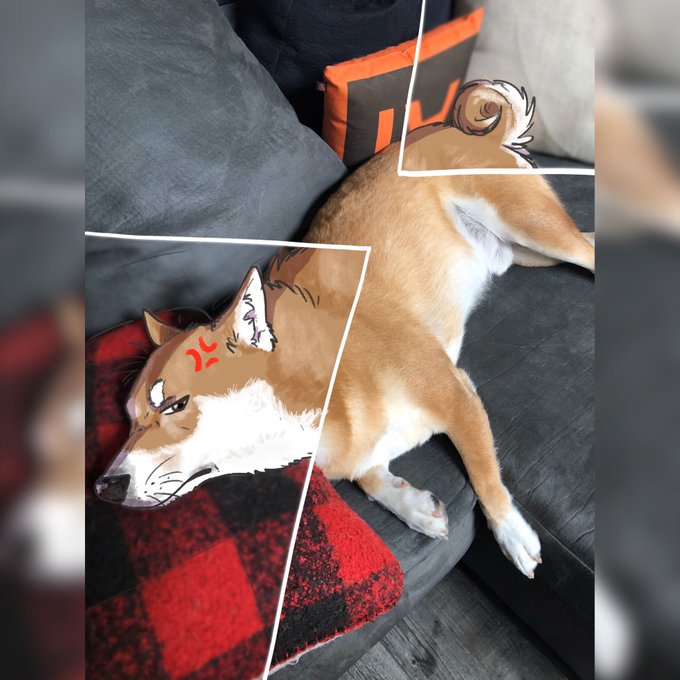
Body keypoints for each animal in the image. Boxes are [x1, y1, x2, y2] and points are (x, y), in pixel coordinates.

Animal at [97, 81, 594, 578]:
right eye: (128, 417)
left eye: (176, 404)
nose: (104, 488)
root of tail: (447, 129)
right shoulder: (362, 451)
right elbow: (369, 475)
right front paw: (413, 506)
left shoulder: (459, 399)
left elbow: (485, 475)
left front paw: (512, 535)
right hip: (525, 253)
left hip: (531, 226)